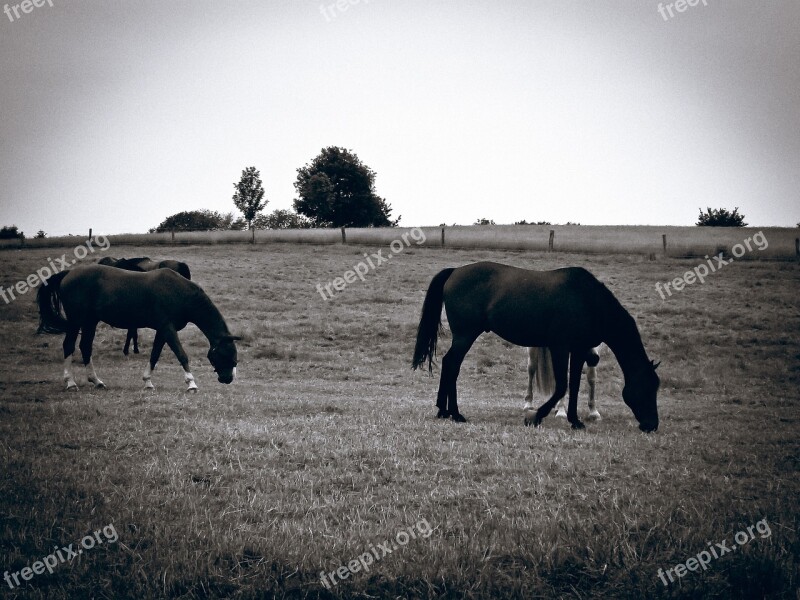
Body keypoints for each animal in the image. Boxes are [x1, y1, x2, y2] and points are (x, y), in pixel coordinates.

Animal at [36, 264, 238, 392]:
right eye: (225, 354)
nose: (228, 379)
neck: (179, 292)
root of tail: (68, 273)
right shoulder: (167, 328)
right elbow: (181, 354)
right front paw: (191, 384)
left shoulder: (162, 330)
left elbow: (155, 355)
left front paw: (148, 382)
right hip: (76, 321)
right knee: (69, 346)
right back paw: (70, 382)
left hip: (90, 322)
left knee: (85, 346)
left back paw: (97, 381)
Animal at [412, 262, 664, 432]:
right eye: (647, 388)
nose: (651, 424)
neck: (587, 300)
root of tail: (455, 271)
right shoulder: (560, 347)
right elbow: (562, 386)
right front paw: (534, 417)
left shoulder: (579, 350)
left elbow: (574, 386)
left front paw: (575, 420)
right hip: (465, 336)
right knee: (452, 364)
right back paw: (454, 413)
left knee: (449, 364)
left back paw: (443, 411)